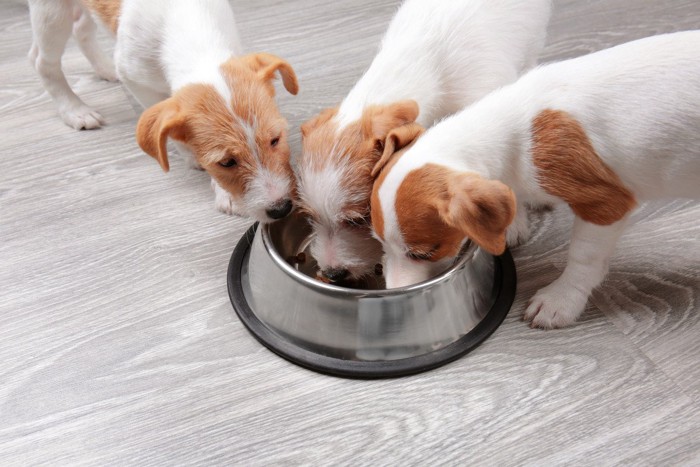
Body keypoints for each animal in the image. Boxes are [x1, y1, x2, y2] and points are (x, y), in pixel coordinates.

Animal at [27, 0, 298, 222]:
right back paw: (74, 110)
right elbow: (165, 125)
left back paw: (104, 69)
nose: (282, 209)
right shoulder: (136, 79)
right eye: (226, 163)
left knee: (80, 30)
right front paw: (200, 166)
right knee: (43, 61)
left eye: (275, 140)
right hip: (51, 14)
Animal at [372, 31, 700, 330]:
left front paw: (562, 300)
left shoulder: (606, 204)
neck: (513, 132)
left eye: (424, 253)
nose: (394, 295)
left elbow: (583, 258)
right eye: (378, 241)